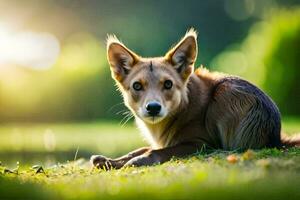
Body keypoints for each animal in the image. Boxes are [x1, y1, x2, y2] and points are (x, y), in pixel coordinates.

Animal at [90, 28, 298, 169]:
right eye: (137, 86)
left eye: (168, 84)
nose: (153, 108)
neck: (183, 107)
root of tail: (277, 138)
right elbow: (140, 148)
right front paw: (110, 161)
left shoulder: (198, 142)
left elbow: (157, 151)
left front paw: (136, 161)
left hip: (225, 92)